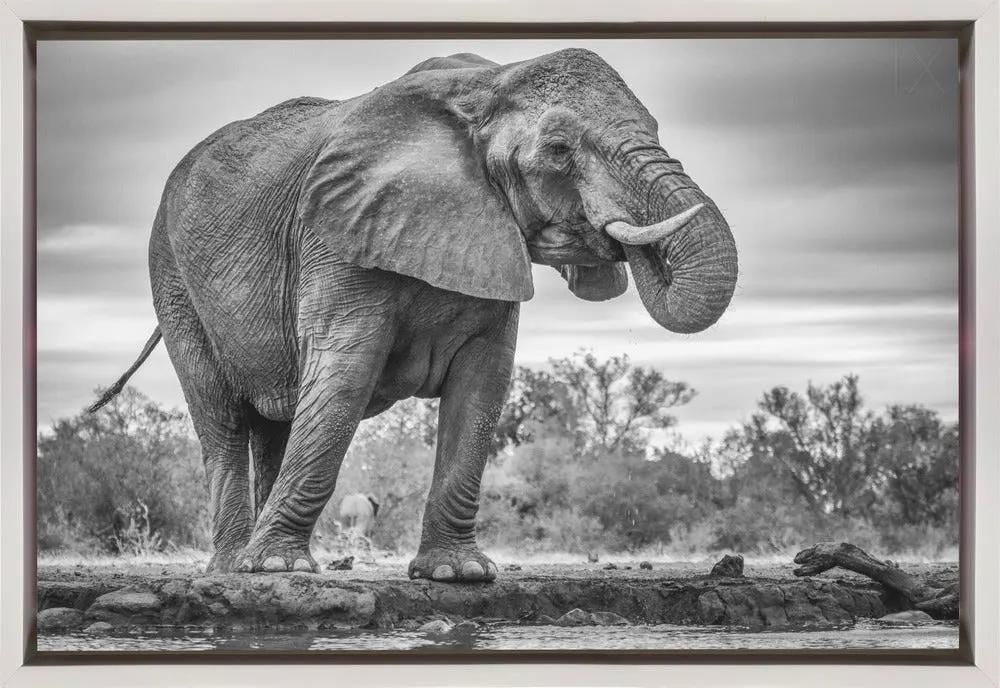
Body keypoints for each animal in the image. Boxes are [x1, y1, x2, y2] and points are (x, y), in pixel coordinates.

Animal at [89, 49, 737, 582]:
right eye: (558, 149)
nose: (624, 242)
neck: (487, 84)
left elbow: (483, 385)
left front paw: (458, 574)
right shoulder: (334, 235)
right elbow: (345, 375)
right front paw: (275, 570)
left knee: (275, 422)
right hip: (172, 275)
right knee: (221, 418)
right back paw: (235, 568)